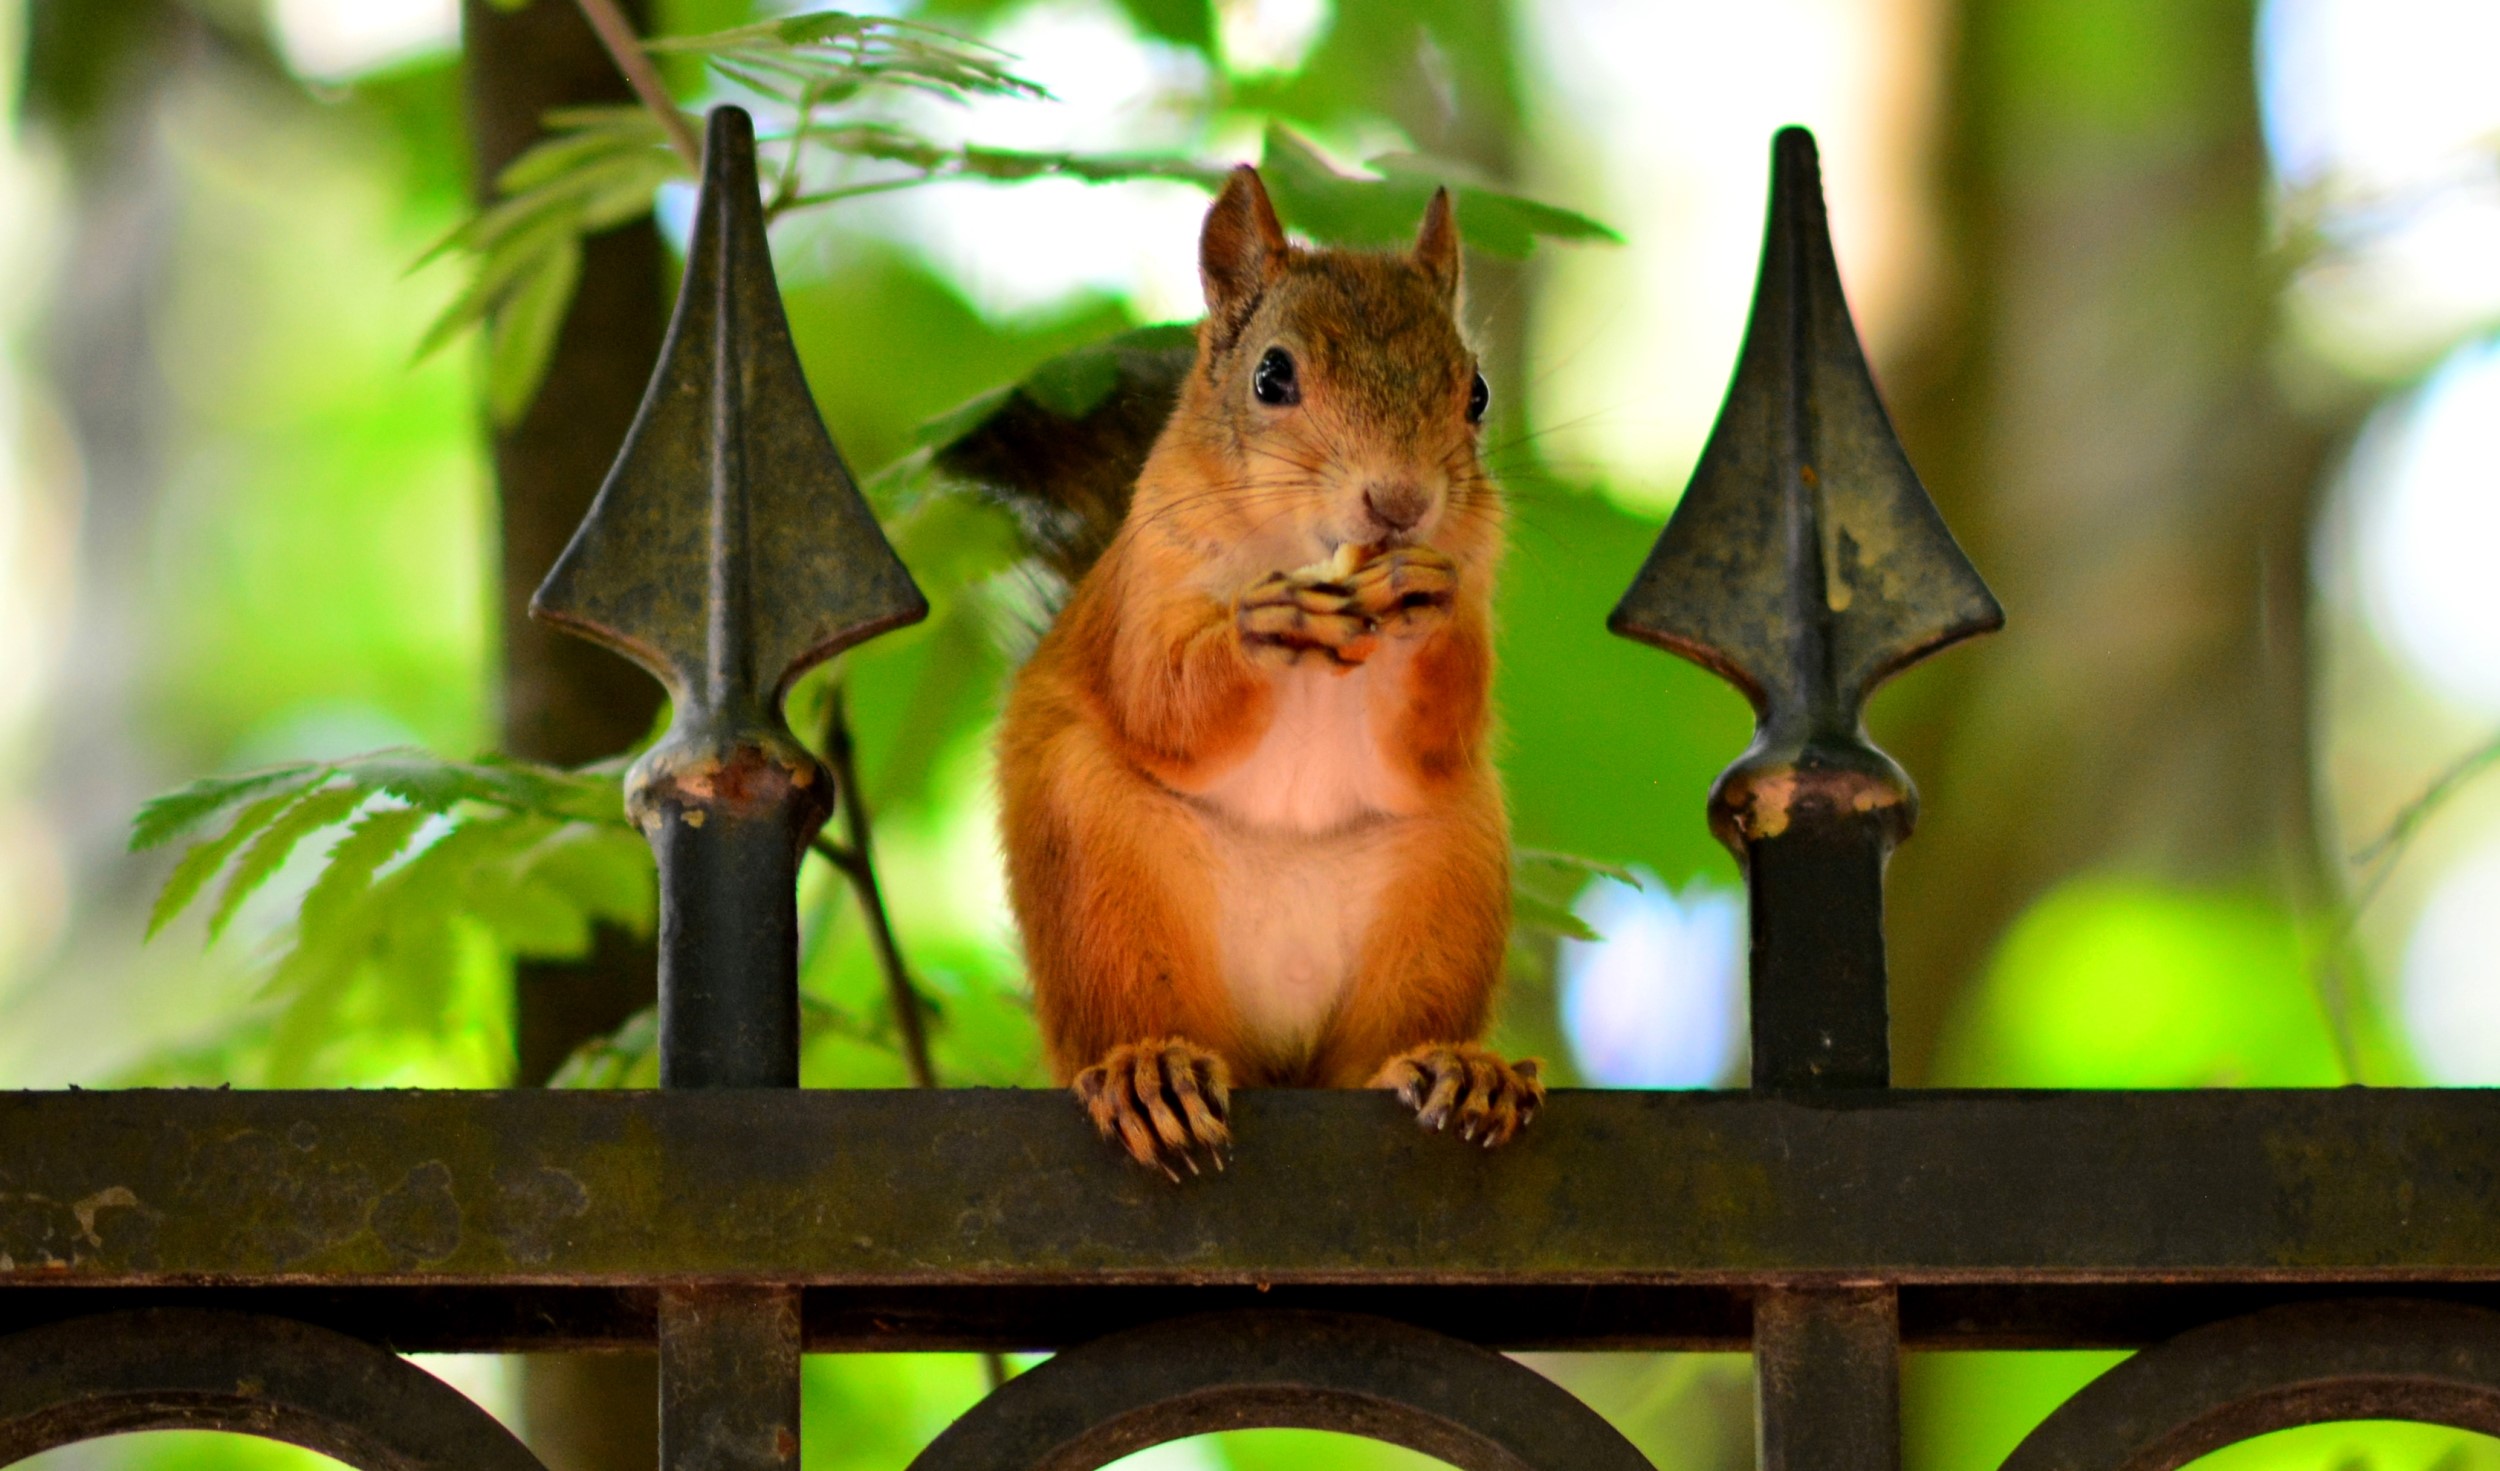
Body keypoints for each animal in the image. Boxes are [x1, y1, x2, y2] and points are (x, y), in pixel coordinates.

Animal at [995, 165, 1542, 1177]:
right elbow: (1160, 699)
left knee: (1381, 1052)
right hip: (1105, 893)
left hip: (1444, 891)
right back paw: (1150, 1073)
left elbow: (1441, 729)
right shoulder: (1149, 577)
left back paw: (1453, 1068)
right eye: (1272, 375)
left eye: (1478, 392)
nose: (1400, 502)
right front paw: (1268, 623)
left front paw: (1427, 603)